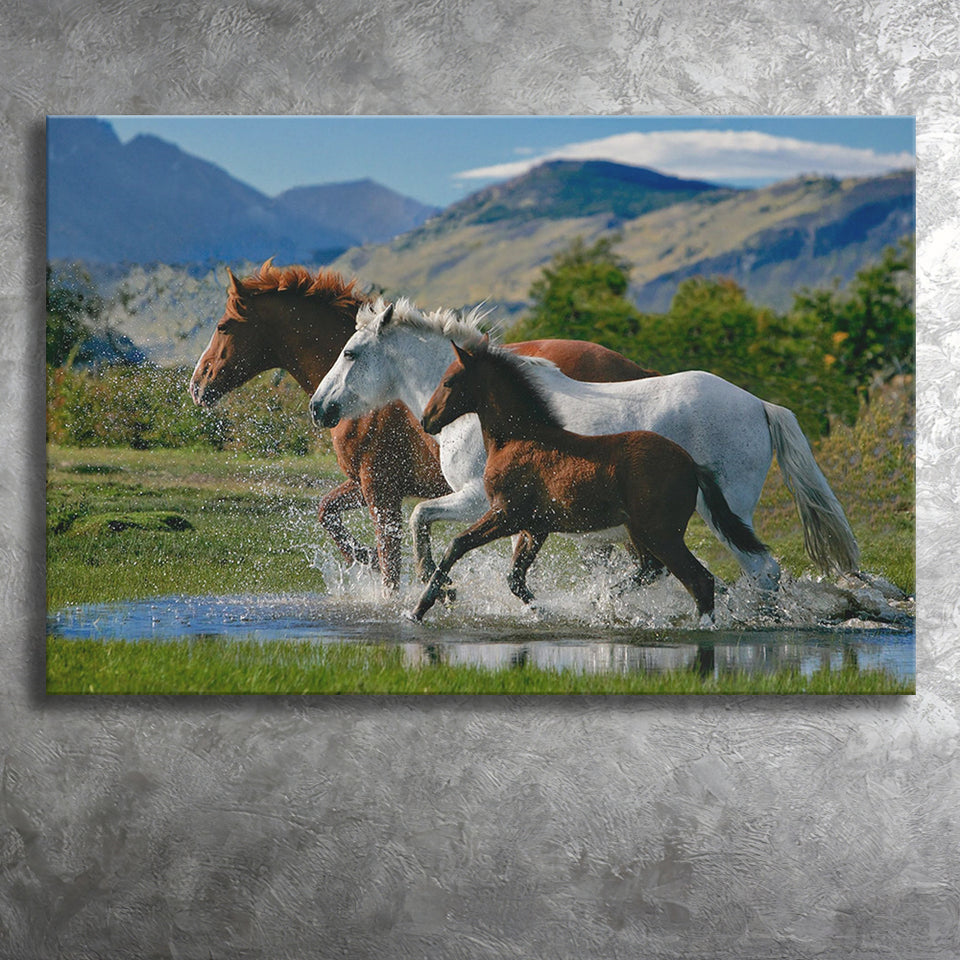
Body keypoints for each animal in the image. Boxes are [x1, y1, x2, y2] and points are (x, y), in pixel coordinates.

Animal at [190, 260, 656, 590]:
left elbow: (391, 562)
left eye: (223, 326)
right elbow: (328, 513)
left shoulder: (380, 488)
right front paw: (364, 558)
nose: (197, 385)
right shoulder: (366, 484)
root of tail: (639, 371)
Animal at [310, 298, 859, 590]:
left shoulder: (478, 500)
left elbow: (421, 516)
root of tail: (759, 404)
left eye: (350, 352)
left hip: (726, 515)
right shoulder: (522, 514)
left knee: (760, 569)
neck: (485, 408)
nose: (319, 408)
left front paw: (437, 585)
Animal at [410, 339, 769, 622]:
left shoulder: (505, 514)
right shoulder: (535, 526)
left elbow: (457, 546)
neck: (521, 438)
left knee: (701, 579)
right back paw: (604, 599)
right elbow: (515, 578)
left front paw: (420, 607)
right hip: (641, 532)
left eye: (449, 381)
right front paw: (543, 609)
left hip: (661, 533)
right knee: (653, 570)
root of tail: (692, 465)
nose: (427, 420)